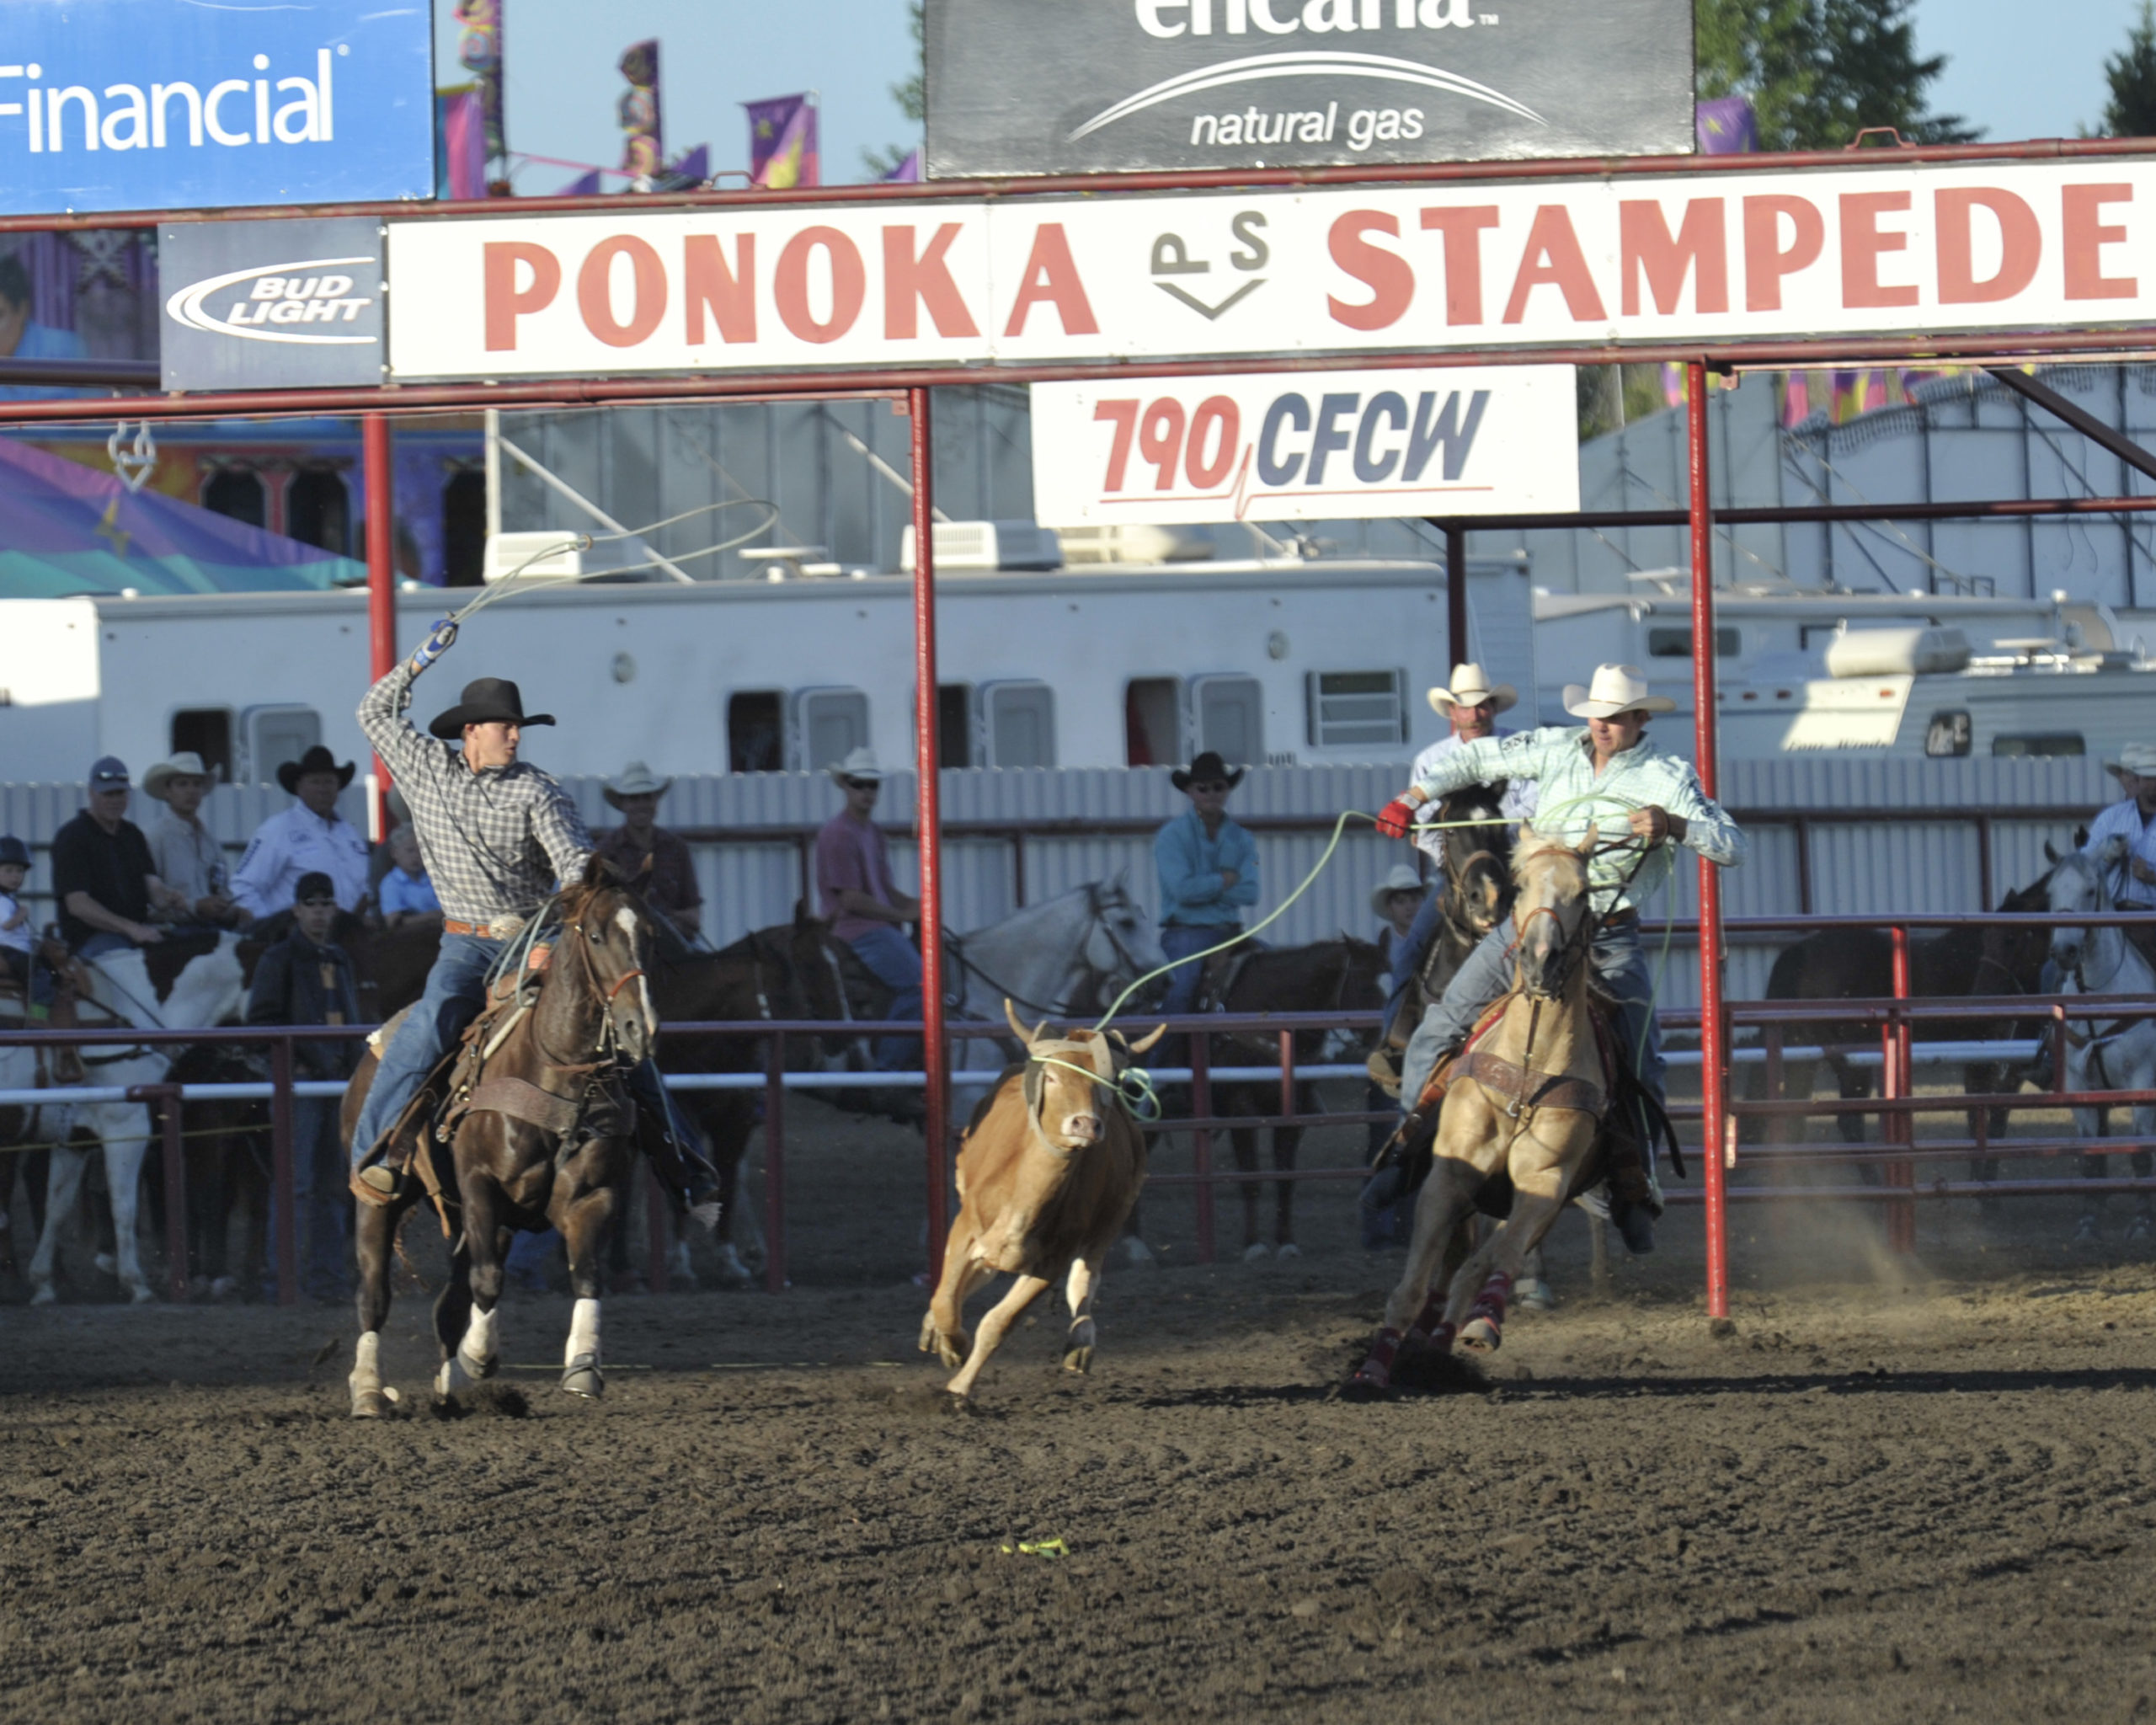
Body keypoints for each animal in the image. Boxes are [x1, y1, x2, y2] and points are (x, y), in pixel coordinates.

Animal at [25, 944, 247, 1311]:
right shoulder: (126, 1131)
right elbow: (126, 1206)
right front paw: (138, 1283)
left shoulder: (75, 1137)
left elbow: (56, 1207)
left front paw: (43, 1284)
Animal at [340, 862, 659, 1414]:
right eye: (596, 936)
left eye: (648, 934)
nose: (640, 1028)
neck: (555, 1071)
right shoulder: (480, 1185)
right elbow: (488, 1280)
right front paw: (480, 1358)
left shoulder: (591, 1195)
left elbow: (586, 1274)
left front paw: (583, 1368)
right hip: (382, 1202)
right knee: (374, 1295)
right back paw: (368, 1391)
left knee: (448, 1304)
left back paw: (448, 1396)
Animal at [1345, 823, 1621, 1388]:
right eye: (1524, 885)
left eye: (1584, 891)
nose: (1541, 961)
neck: (1527, 1070)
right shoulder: (1449, 1175)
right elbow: (1413, 1285)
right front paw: (1373, 1371)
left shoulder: (1545, 1182)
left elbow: (1501, 1256)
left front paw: (1482, 1323)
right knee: (1453, 1258)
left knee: (1482, 1261)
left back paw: (1455, 1333)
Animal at [2035, 841, 2156, 1233]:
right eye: (2050, 892)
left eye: (2090, 890)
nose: (2064, 952)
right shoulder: (2077, 1083)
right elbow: (2090, 1153)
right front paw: (2089, 1220)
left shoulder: (2142, 1081)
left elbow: (2140, 1152)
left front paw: (2141, 1222)